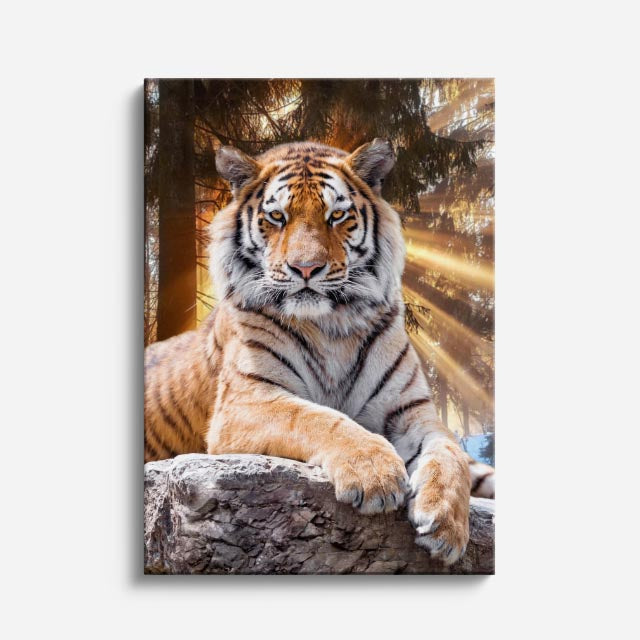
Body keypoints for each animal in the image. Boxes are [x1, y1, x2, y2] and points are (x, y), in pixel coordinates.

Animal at [144, 138, 495, 566]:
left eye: (337, 215)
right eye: (276, 216)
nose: (306, 269)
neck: (333, 326)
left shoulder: (412, 411)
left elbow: (449, 452)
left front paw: (446, 523)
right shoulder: (245, 400)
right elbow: (316, 417)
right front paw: (375, 473)